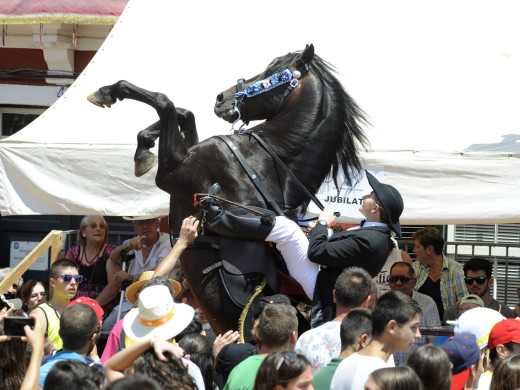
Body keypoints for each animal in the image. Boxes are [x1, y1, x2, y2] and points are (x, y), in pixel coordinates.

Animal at [87, 45, 368, 338]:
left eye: (271, 71)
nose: (222, 98)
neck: (265, 158)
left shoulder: (173, 171)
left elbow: (165, 103)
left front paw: (111, 94)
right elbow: (184, 113)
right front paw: (144, 143)